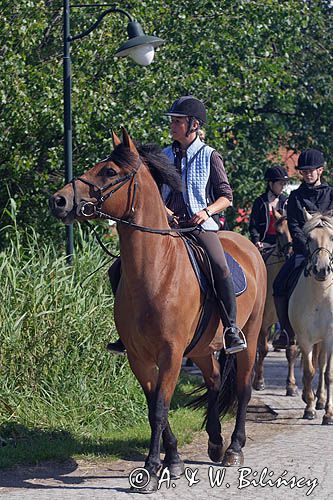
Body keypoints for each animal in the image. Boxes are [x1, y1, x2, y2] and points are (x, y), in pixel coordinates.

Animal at [50, 128, 264, 492]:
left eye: (109, 171)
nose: (59, 201)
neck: (156, 270)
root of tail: (248, 246)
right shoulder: (139, 356)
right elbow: (153, 409)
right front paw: (172, 461)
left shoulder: (171, 353)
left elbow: (161, 409)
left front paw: (151, 470)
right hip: (203, 348)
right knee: (214, 380)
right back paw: (214, 442)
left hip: (249, 334)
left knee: (243, 387)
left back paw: (234, 449)